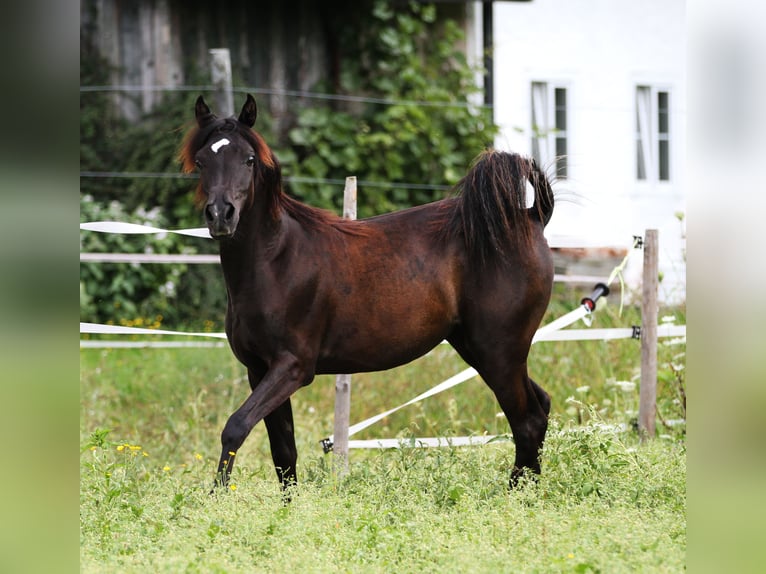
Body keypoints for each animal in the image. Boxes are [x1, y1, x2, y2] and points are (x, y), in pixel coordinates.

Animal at [183, 97, 560, 492]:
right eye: (202, 161)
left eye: (249, 159)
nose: (220, 215)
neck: (276, 261)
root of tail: (532, 217)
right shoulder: (259, 369)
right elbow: (283, 453)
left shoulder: (292, 367)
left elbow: (236, 427)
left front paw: (217, 498)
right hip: (479, 349)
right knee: (540, 407)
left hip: (500, 351)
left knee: (527, 420)